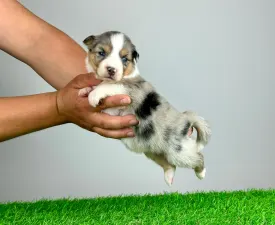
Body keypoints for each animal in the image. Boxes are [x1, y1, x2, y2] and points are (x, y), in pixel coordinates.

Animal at [78, 30, 212, 185]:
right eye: (101, 53)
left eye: (124, 58)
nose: (111, 70)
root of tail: (186, 118)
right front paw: (84, 90)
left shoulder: (130, 90)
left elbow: (111, 85)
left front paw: (94, 95)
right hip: (154, 151)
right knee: (169, 164)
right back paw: (169, 177)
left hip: (179, 151)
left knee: (198, 156)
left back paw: (201, 173)